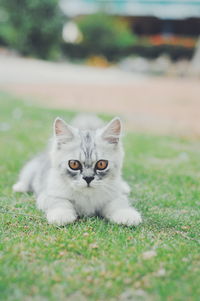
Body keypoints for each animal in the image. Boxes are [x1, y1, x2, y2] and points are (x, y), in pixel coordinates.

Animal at [12, 114, 142, 225]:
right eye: (74, 164)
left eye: (101, 164)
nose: (88, 178)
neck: (87, 197)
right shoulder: (48, 195)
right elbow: (60, 202)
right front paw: (61, 215)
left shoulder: (114, 196)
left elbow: (119, 203)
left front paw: (127, 215)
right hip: (31, 170)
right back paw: (19, 187)